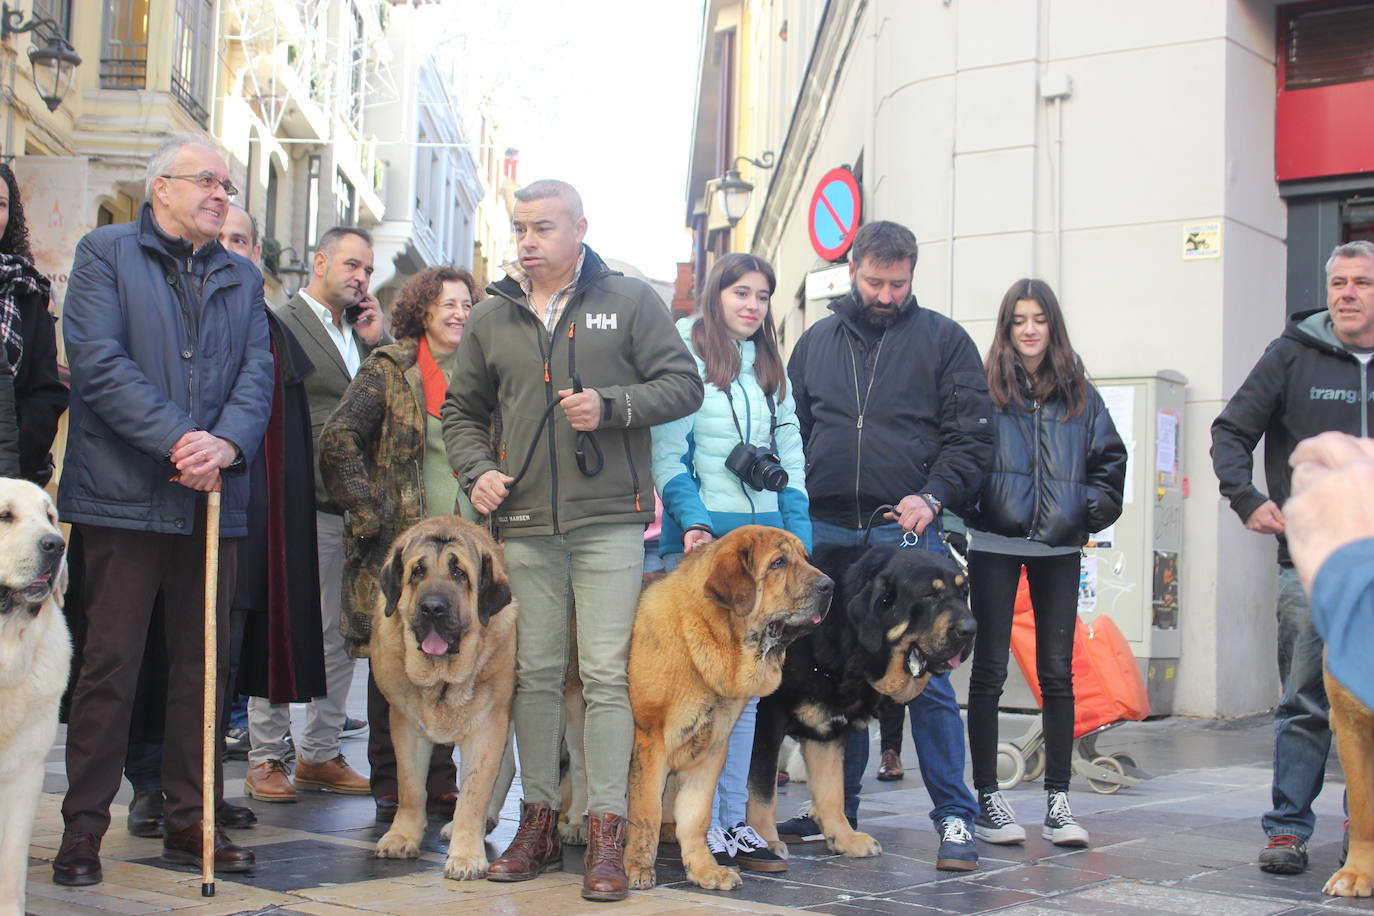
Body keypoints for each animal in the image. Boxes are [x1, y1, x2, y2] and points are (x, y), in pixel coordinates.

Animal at [370, 516, 516, 878]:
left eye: (460, 573)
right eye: (417, 572)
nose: (432, 608)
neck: (442, 678)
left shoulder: (487, 724)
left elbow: (474, 791)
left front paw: (466, 855)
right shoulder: (405, 723)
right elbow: (409, 785)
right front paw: (402, 836)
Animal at [626, 527, 835, 889]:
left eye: (805, 558)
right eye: (778, 563)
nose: (830, 585)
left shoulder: (712, 749)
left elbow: (696, 816)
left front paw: (704, 869)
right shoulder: (649, 743)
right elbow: (645, 811)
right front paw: (637, 867)